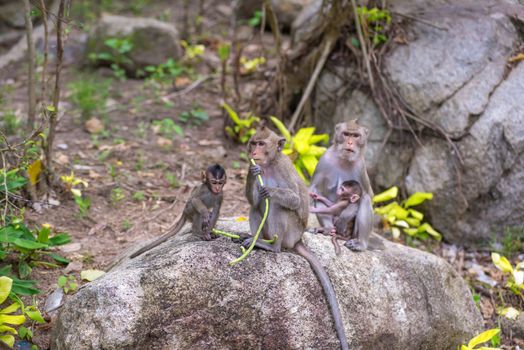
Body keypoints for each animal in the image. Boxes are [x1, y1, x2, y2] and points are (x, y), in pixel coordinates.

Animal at [310, 120, 374, 252]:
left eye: (355, 136)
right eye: (346, 134)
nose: (349, 142)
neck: (344, 160)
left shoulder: (361, 167)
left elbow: (365, 195)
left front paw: (346, 215)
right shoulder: (324, 160)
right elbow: (316, 190)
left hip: (352, 233)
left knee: (365, 199)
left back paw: (361, 243)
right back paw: (328, 228)